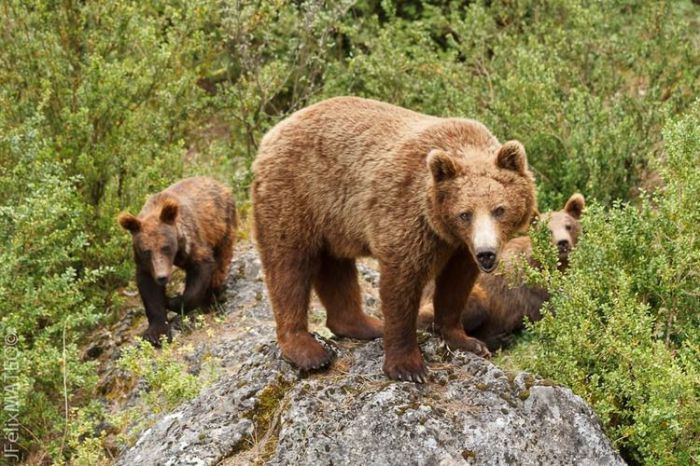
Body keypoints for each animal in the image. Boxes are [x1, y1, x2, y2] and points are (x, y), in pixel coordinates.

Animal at [115, 177, 235, 344]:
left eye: (165, 247)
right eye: (146, 251)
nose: (162, 277)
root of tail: (217, 182)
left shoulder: (191, 241)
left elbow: (201, 267)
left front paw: (173, 301)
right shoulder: (145, 264)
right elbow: (149, 289)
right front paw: (156, 333)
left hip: (222, 225)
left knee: (221, 260)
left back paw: (214, 297)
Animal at [252, 97, 536, 382]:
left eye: (499, 209)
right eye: (464, 214)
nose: (486, 253)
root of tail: (273, 131)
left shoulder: (458, 247)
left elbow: (456, 285)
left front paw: (468, 341)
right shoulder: (407, 214)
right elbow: (402, 283)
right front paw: (408, 367)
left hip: (333, 218)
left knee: (335, 267)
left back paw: (364, 325)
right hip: (296, 193)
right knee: (288, 266)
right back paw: (307, 350)